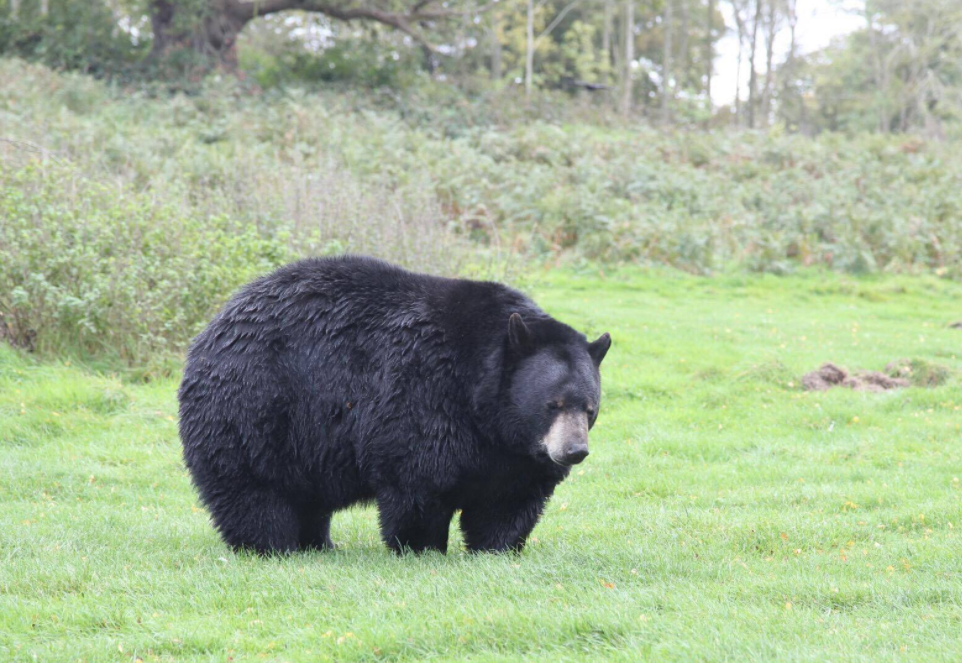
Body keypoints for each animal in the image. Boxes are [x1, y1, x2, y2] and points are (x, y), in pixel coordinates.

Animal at [178, 256, 611, 554]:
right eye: (553, 404)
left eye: (590, 409)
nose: (574, 451)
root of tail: (211, 328)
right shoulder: (422, 394)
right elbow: (418, 480)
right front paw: (422, 547)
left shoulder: (513, 452)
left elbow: (508, 501)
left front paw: (498, 548)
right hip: (253, 408)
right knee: (253, 489)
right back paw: (271, 546)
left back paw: (318, 543)